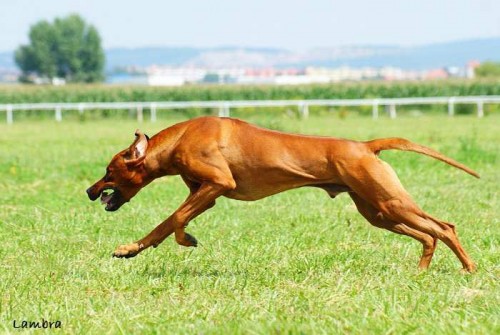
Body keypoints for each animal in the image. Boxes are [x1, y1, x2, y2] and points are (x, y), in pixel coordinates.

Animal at [87, 117, 480, 272]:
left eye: (108, 171)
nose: (89, 191)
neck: (182, 138)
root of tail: (365, 145)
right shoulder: (205, 193)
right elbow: (163, 225)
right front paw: (129, 249)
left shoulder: (218, 185)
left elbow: (177, 219)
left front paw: (187, 240)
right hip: (378, 212)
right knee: (428, 235)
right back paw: (423, 269)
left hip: (390, 202)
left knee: (444, 227)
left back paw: (469, 269)